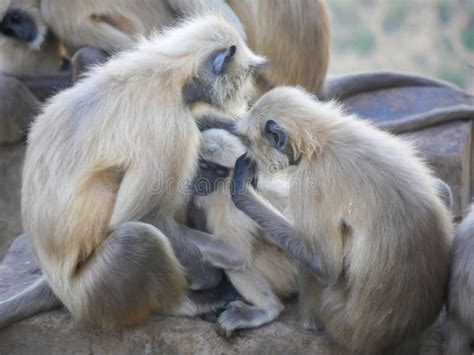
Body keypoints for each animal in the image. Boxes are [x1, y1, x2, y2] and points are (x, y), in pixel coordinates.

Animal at [0, 14, 268, 330]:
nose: (246, 92)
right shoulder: (169, 126)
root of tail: (57, 285)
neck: (170, 73)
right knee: (138, 238)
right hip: (92, 296)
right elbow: (143, 216)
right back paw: (191, 302)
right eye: (245, 75)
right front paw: (210, 276)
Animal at [188, 129, 296, 338]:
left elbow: (234, 252)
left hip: (286, 271)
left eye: (219, 172)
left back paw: (267, 309)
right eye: (204, 166)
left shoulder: (233, 205)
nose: (205, 180)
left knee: (240, 259)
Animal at [231, 87, 456, 354]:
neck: (321, 138)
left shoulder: (312, 180)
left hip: (338, 318)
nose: (249, 156)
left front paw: (241, 190)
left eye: (248, 143)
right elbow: (441, 188)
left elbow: (323, 265)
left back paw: (310, 323)